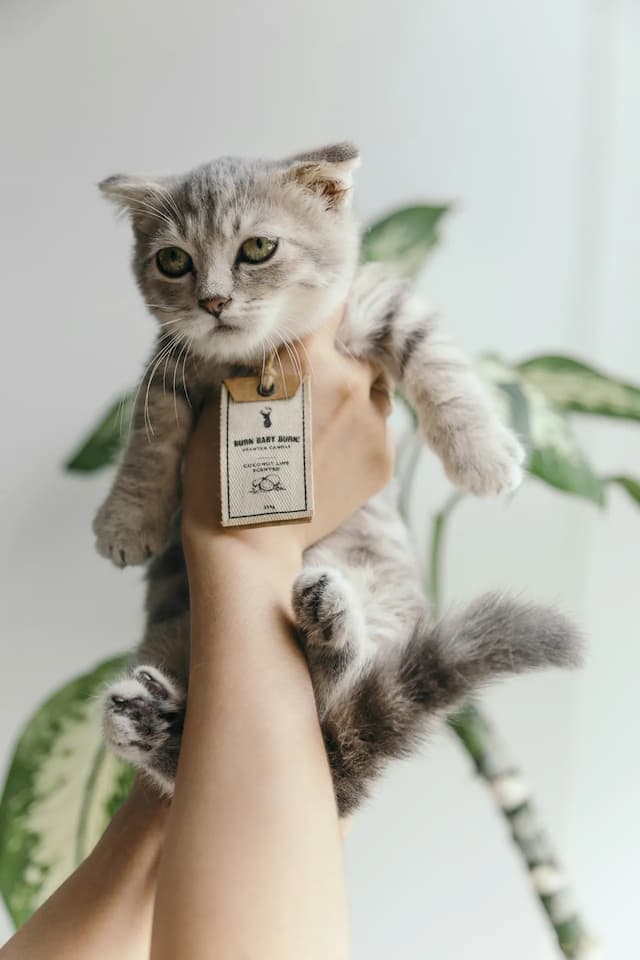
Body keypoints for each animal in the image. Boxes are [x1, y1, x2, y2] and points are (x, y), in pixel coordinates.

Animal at [97, 144, 584, 816]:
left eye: (258, 248)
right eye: (174, 261)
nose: (212, 301)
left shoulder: (386, 302)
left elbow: (441, 366)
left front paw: (482, 454)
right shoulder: (166, 370)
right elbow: (147, 444)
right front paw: (126, 519)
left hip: (383, 603)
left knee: (338, 693)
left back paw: (328, 628)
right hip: (174, 632)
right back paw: (147, 720)